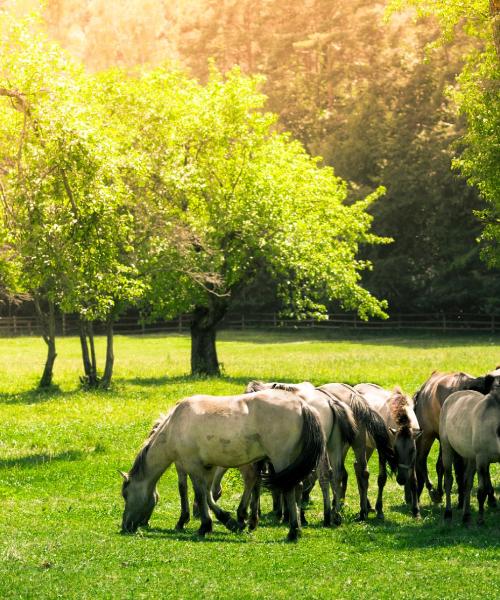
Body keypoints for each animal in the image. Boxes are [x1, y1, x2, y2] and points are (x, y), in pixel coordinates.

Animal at [120, 390, 324, 544]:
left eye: (126, 494)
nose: (125, 526)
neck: (175, 425)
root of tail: (301, 404)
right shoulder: (208, 467)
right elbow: (208, 494)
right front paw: (229, 522)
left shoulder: (192, 465)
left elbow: (199, 493)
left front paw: (205, 526)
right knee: (295, 487)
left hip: (281, 460)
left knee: (287, 489)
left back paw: (292, 532)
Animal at [352, 386, 422, 516]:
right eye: (395, 450)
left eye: (412, 450)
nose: (401, 479)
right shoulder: (383, 451)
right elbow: (382, 479)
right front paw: (379, 509)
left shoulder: (413, 456)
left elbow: (414, 481)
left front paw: (416, 510)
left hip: (369, 446)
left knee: (357, 466)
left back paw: (367, 505)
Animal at [442, 386, 500, 524]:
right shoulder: (482, 459)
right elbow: (481, 492)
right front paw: (480, 520)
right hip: (447, 449)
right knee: (448, 481)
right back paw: (448, 513)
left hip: (470, 458)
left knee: (467, 483)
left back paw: (466, 516)